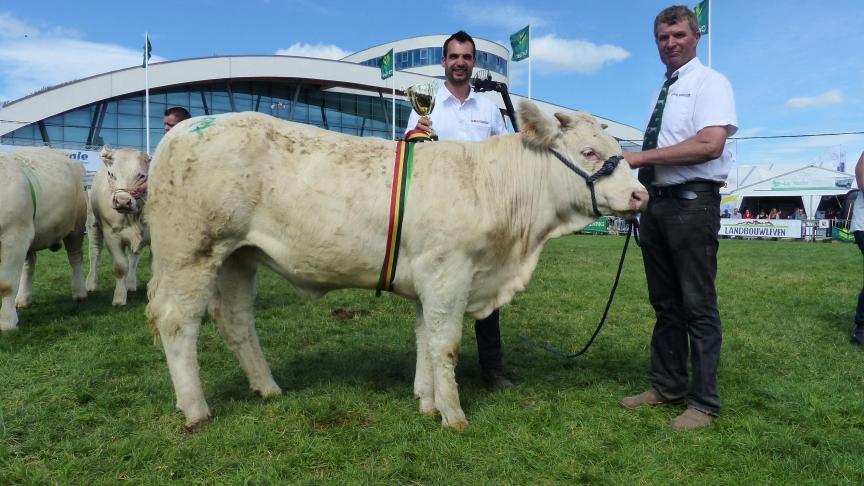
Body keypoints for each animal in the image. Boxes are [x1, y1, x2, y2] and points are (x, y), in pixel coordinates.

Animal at [0, 147, 88, 330]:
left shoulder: (13, 237)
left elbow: (6, 283)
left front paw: (7, 322)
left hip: (75, 228)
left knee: (75, 258)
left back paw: (79, 292)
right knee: (29, 264)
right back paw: (23, 299)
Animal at [145, 101, 648, 430]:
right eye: (588, 152)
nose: (640, 194)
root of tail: (181, 130)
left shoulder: (429, 278)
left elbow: (425, 338)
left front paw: (426, 402)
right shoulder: (449, 272)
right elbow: (446, 344)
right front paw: (454, 416)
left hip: (238, 257)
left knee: (235, 320)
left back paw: (267, 387)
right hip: (191, 251)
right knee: (177, 322)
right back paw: (195, 409)